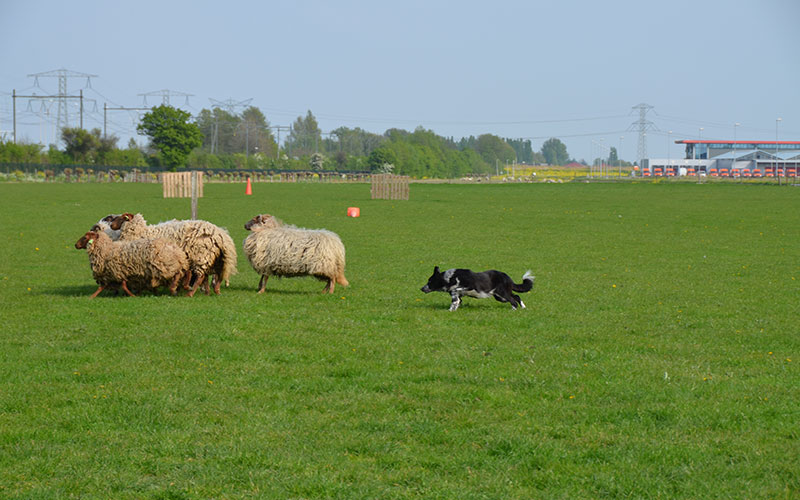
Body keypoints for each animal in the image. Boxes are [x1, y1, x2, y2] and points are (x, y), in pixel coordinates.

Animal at [111, 212, 239, 296]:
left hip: (201, 255)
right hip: (214, 258)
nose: (111, 225)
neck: (140, 231)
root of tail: (221, 235)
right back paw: (211, 291)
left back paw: (190, 293)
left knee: (201, 276)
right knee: (212, 275)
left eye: (121, 218)